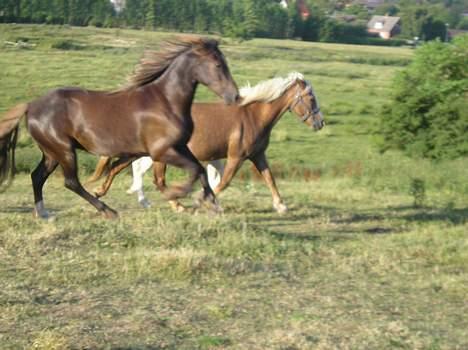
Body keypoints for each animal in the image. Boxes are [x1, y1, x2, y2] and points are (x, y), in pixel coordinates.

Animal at [0, 38, 238, 219]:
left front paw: (211, 203)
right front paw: (180, 195)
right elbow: (193, 170)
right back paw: (108, 211)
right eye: (218, 65)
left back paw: (44, 213)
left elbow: (198, 169)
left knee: (37, 177)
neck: (166, 102)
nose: (234, 96)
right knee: (71, 182)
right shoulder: (161, 151)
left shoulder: (178, 146)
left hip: (51, 152)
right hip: (64, 149)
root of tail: (31, 105)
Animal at [89, 72, 324, 212]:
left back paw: (106, 193)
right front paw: (203, 201)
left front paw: (281, 205)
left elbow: (269, 179)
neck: (252, 116)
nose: (320, 123)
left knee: (122, 168)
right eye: (311, 98)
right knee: (147, 176)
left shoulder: (257, 156)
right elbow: (223, 181)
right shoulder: (236, 157)